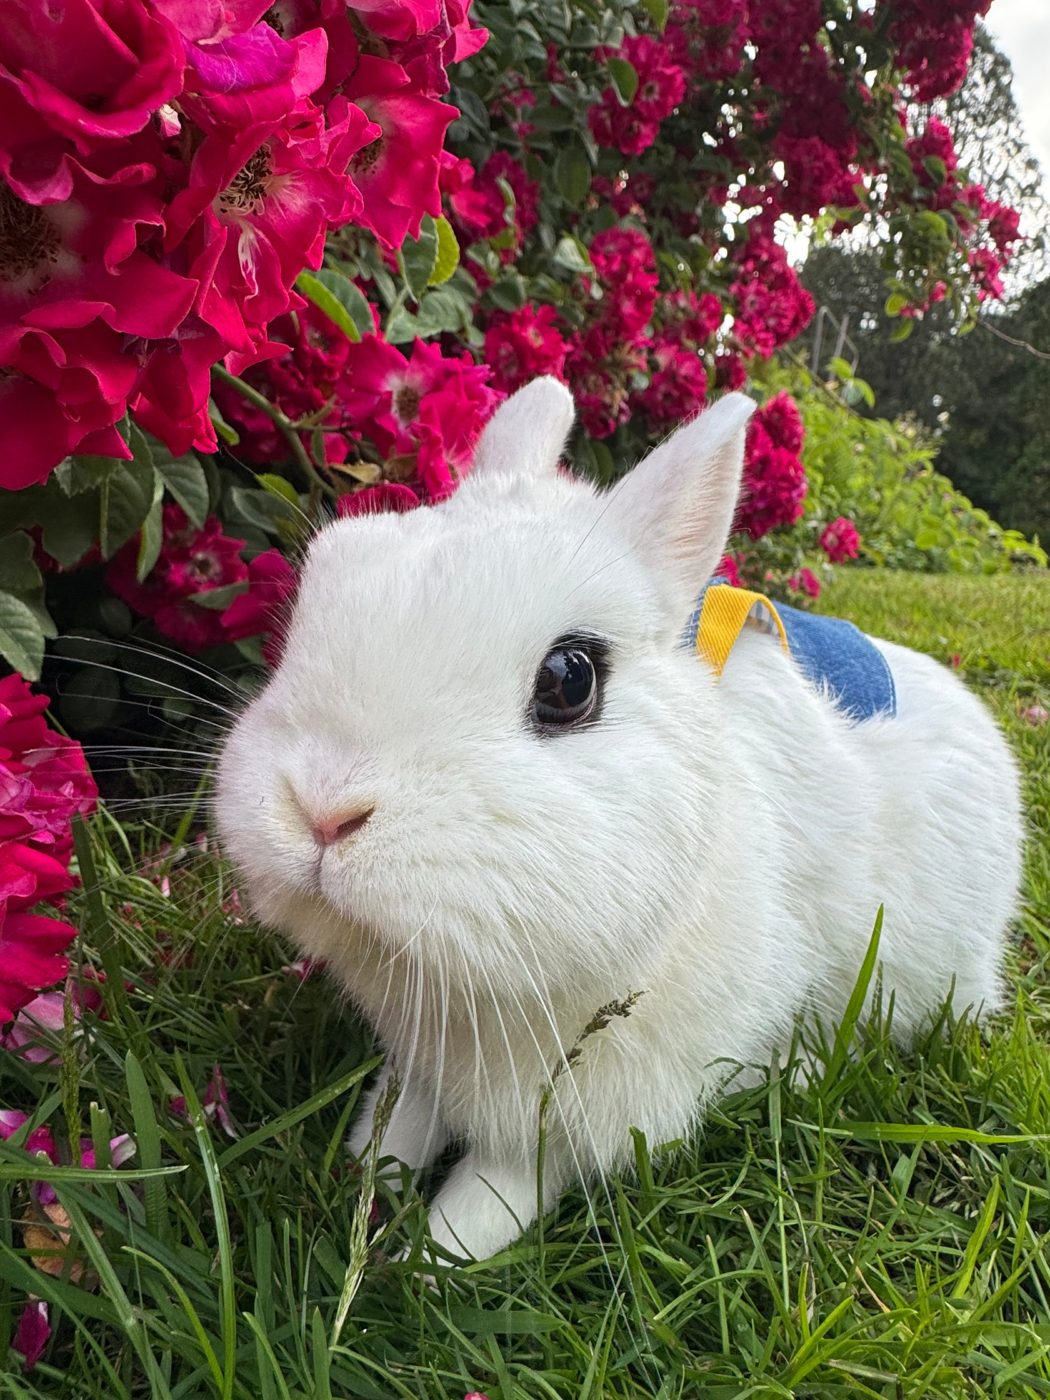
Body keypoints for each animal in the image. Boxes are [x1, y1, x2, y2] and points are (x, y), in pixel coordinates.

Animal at [215, 378, 1023, 1264]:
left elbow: (500, 1190)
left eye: (570, 679)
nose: (321, 810)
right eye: (324, 585)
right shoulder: (425, 1059)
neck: (469, 988)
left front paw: (427, 1261)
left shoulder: (582, 1113)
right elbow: (402, 1115)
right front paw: (365, 1172)